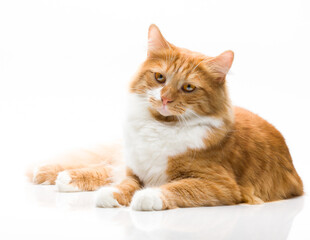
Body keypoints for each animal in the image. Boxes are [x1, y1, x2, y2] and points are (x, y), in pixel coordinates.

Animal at [30, 24, 302, 211]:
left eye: (189, 88)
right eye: (159, 78)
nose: (164, 99)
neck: (160, 127)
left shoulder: (220, 184)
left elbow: (176, 188)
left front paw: (146, 197)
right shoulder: (134, 170)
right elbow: (124, 182)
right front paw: (111, 195)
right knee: (104, 166)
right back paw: (54, 174)